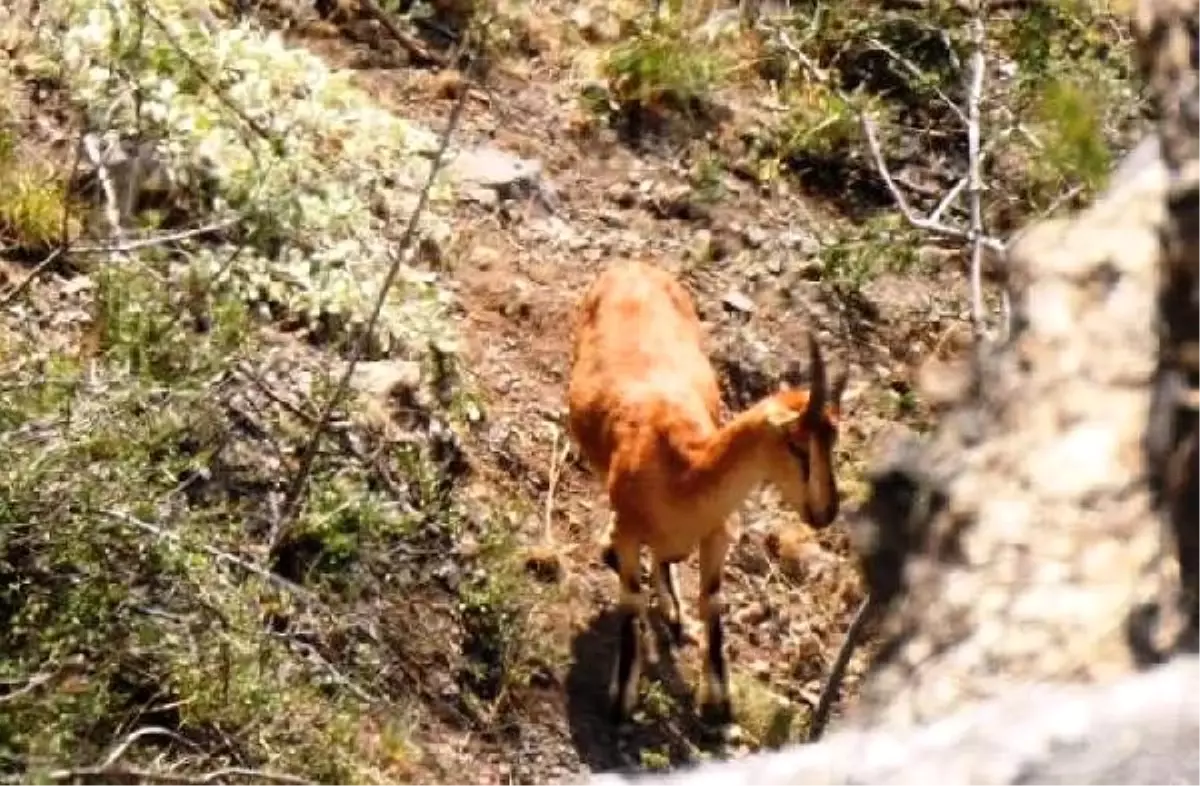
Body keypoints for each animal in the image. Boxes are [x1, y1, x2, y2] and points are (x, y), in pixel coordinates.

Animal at [568, 260, 844, 729]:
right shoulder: (632, 534)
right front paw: (621, 697)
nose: (825, 511)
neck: (682, 470)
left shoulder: (718, 532)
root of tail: (632, 265)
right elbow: (631, 597)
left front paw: (717, 702)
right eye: (796, 444)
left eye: (833, 441)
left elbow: (713, 601)